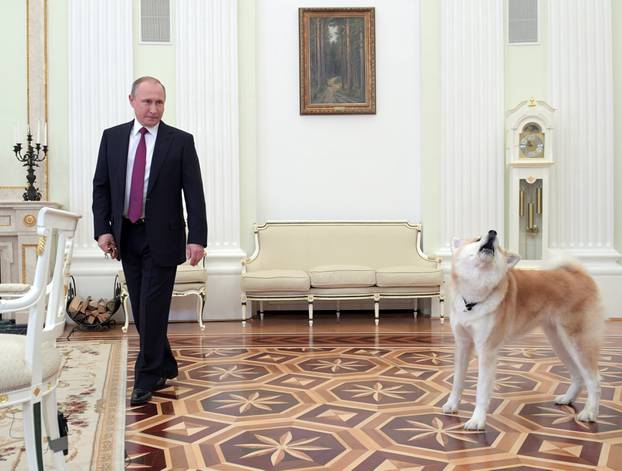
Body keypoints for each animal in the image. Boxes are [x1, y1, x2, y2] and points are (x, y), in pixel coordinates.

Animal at [444, 230, 604, 430]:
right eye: (477, 239)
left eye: (498, 245)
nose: (492, 232)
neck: (474, 297)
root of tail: (578, 274)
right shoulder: (463, 344)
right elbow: (457, 380)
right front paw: (452, 404)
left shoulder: (486, 350)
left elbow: (481, 390)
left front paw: (477, 420)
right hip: (559, 342)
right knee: (577, 375)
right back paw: (567, 398)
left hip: (577, 341)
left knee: (594, 379)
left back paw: (590, 412)